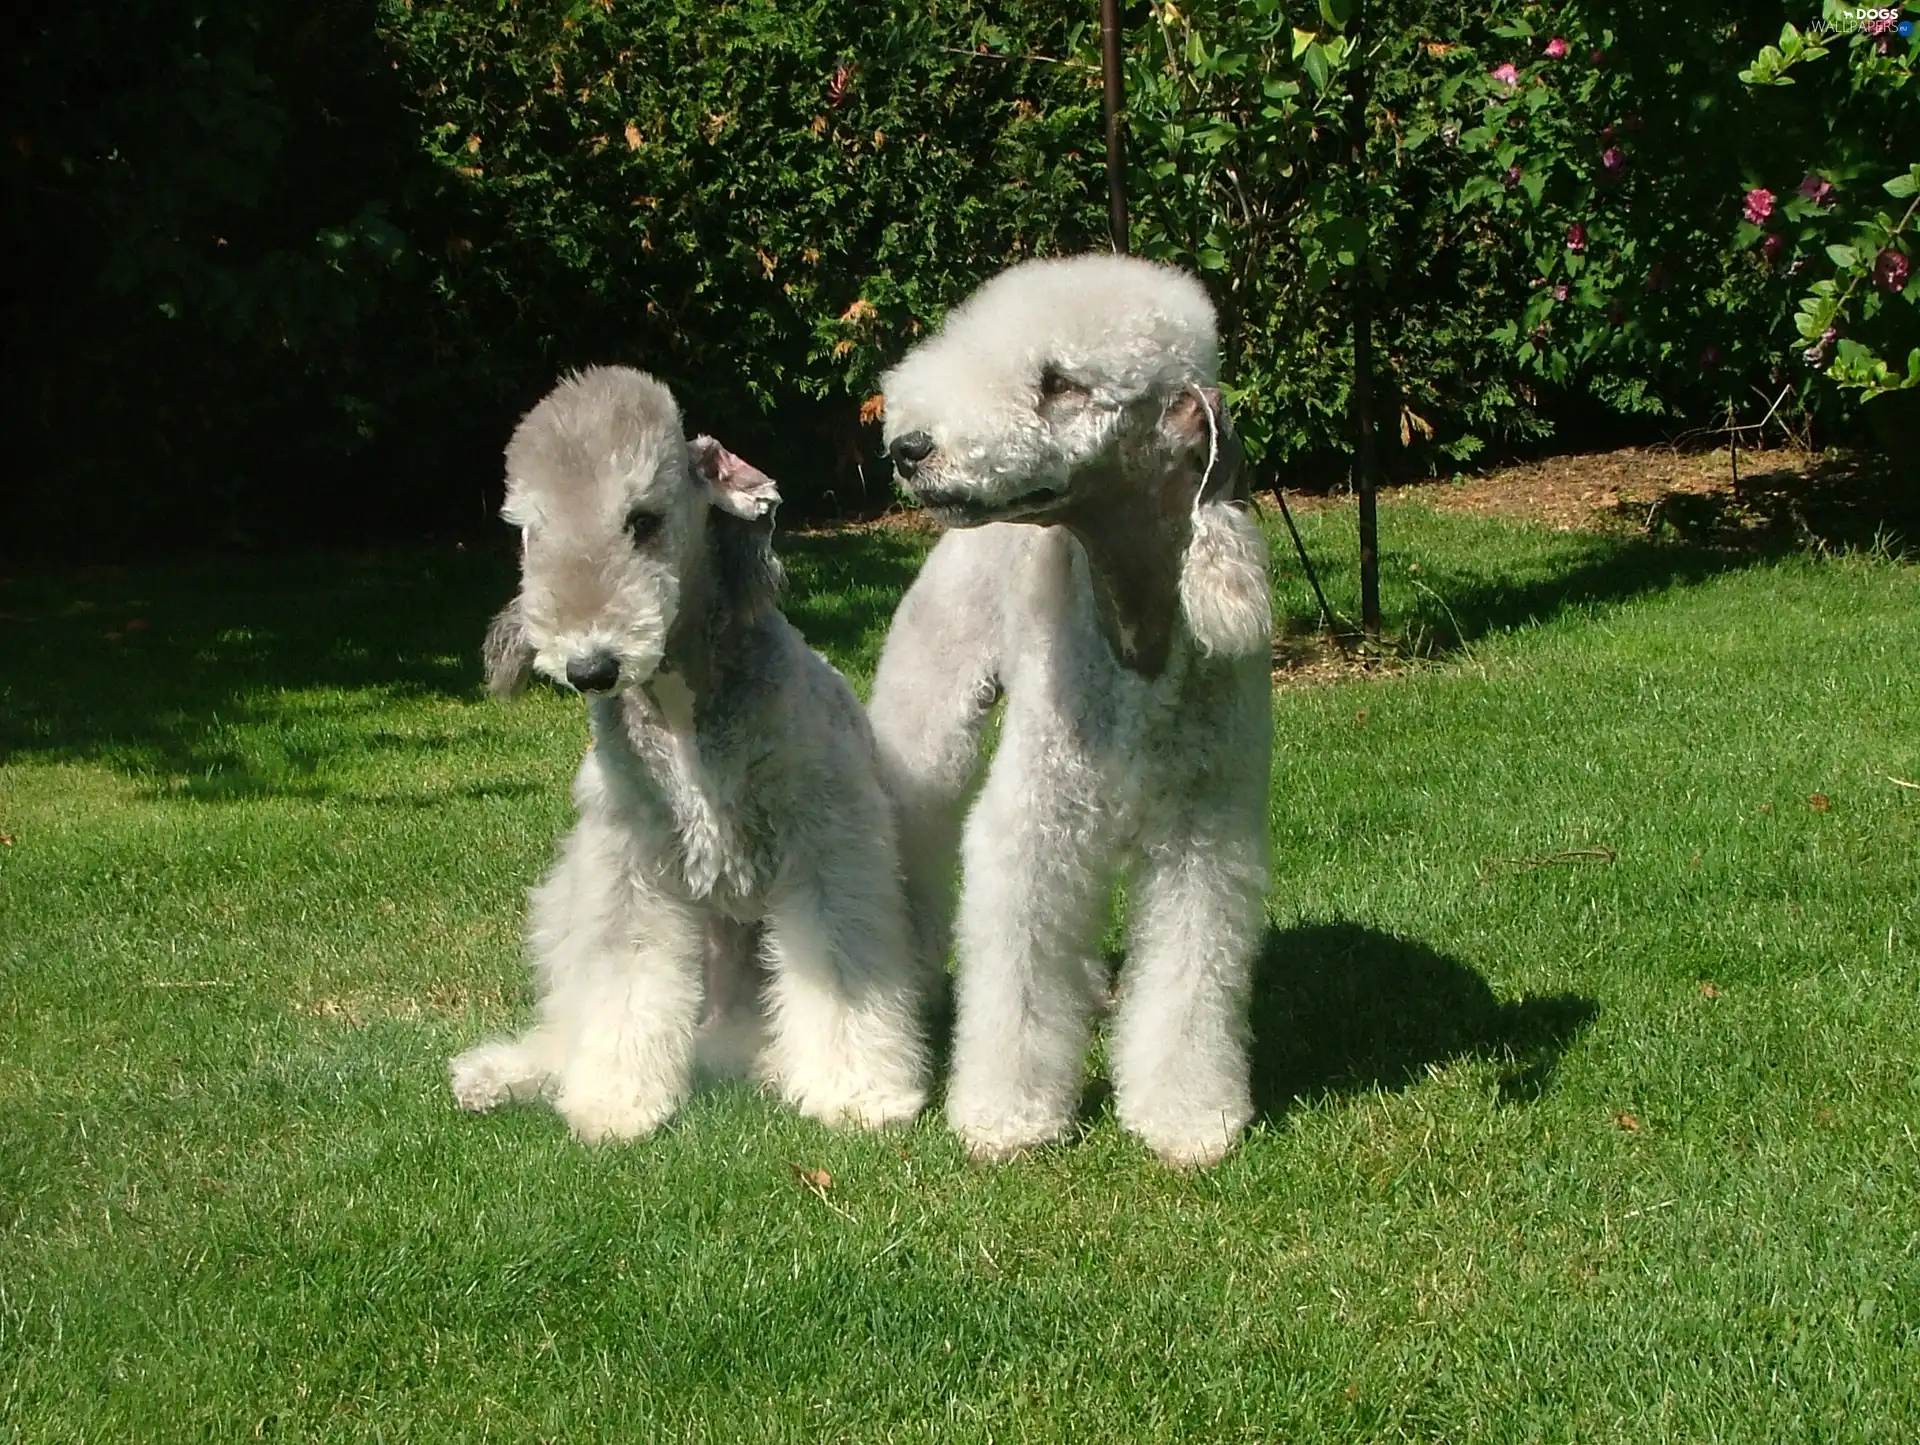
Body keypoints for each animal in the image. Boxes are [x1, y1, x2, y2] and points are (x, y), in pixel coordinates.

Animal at [449, 362, 929, 1136]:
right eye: (528, 532)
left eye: (642, 520)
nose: (590, 667)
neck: (681, 707)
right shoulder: (628, 859)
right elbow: (621, 978)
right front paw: (615, 1100)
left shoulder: (827, 839)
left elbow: (841, 963)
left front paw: (859, 1093)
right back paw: (505, 1073)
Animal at [871, 253, 1274, 1166]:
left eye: (1060, 383)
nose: (910, 449)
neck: (1136, 627)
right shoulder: (1035, 820)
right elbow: (1016, 970)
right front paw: (1007, 1116)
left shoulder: (1206, 830)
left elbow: (1192, 976)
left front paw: (1187, 1115)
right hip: (928, 720)